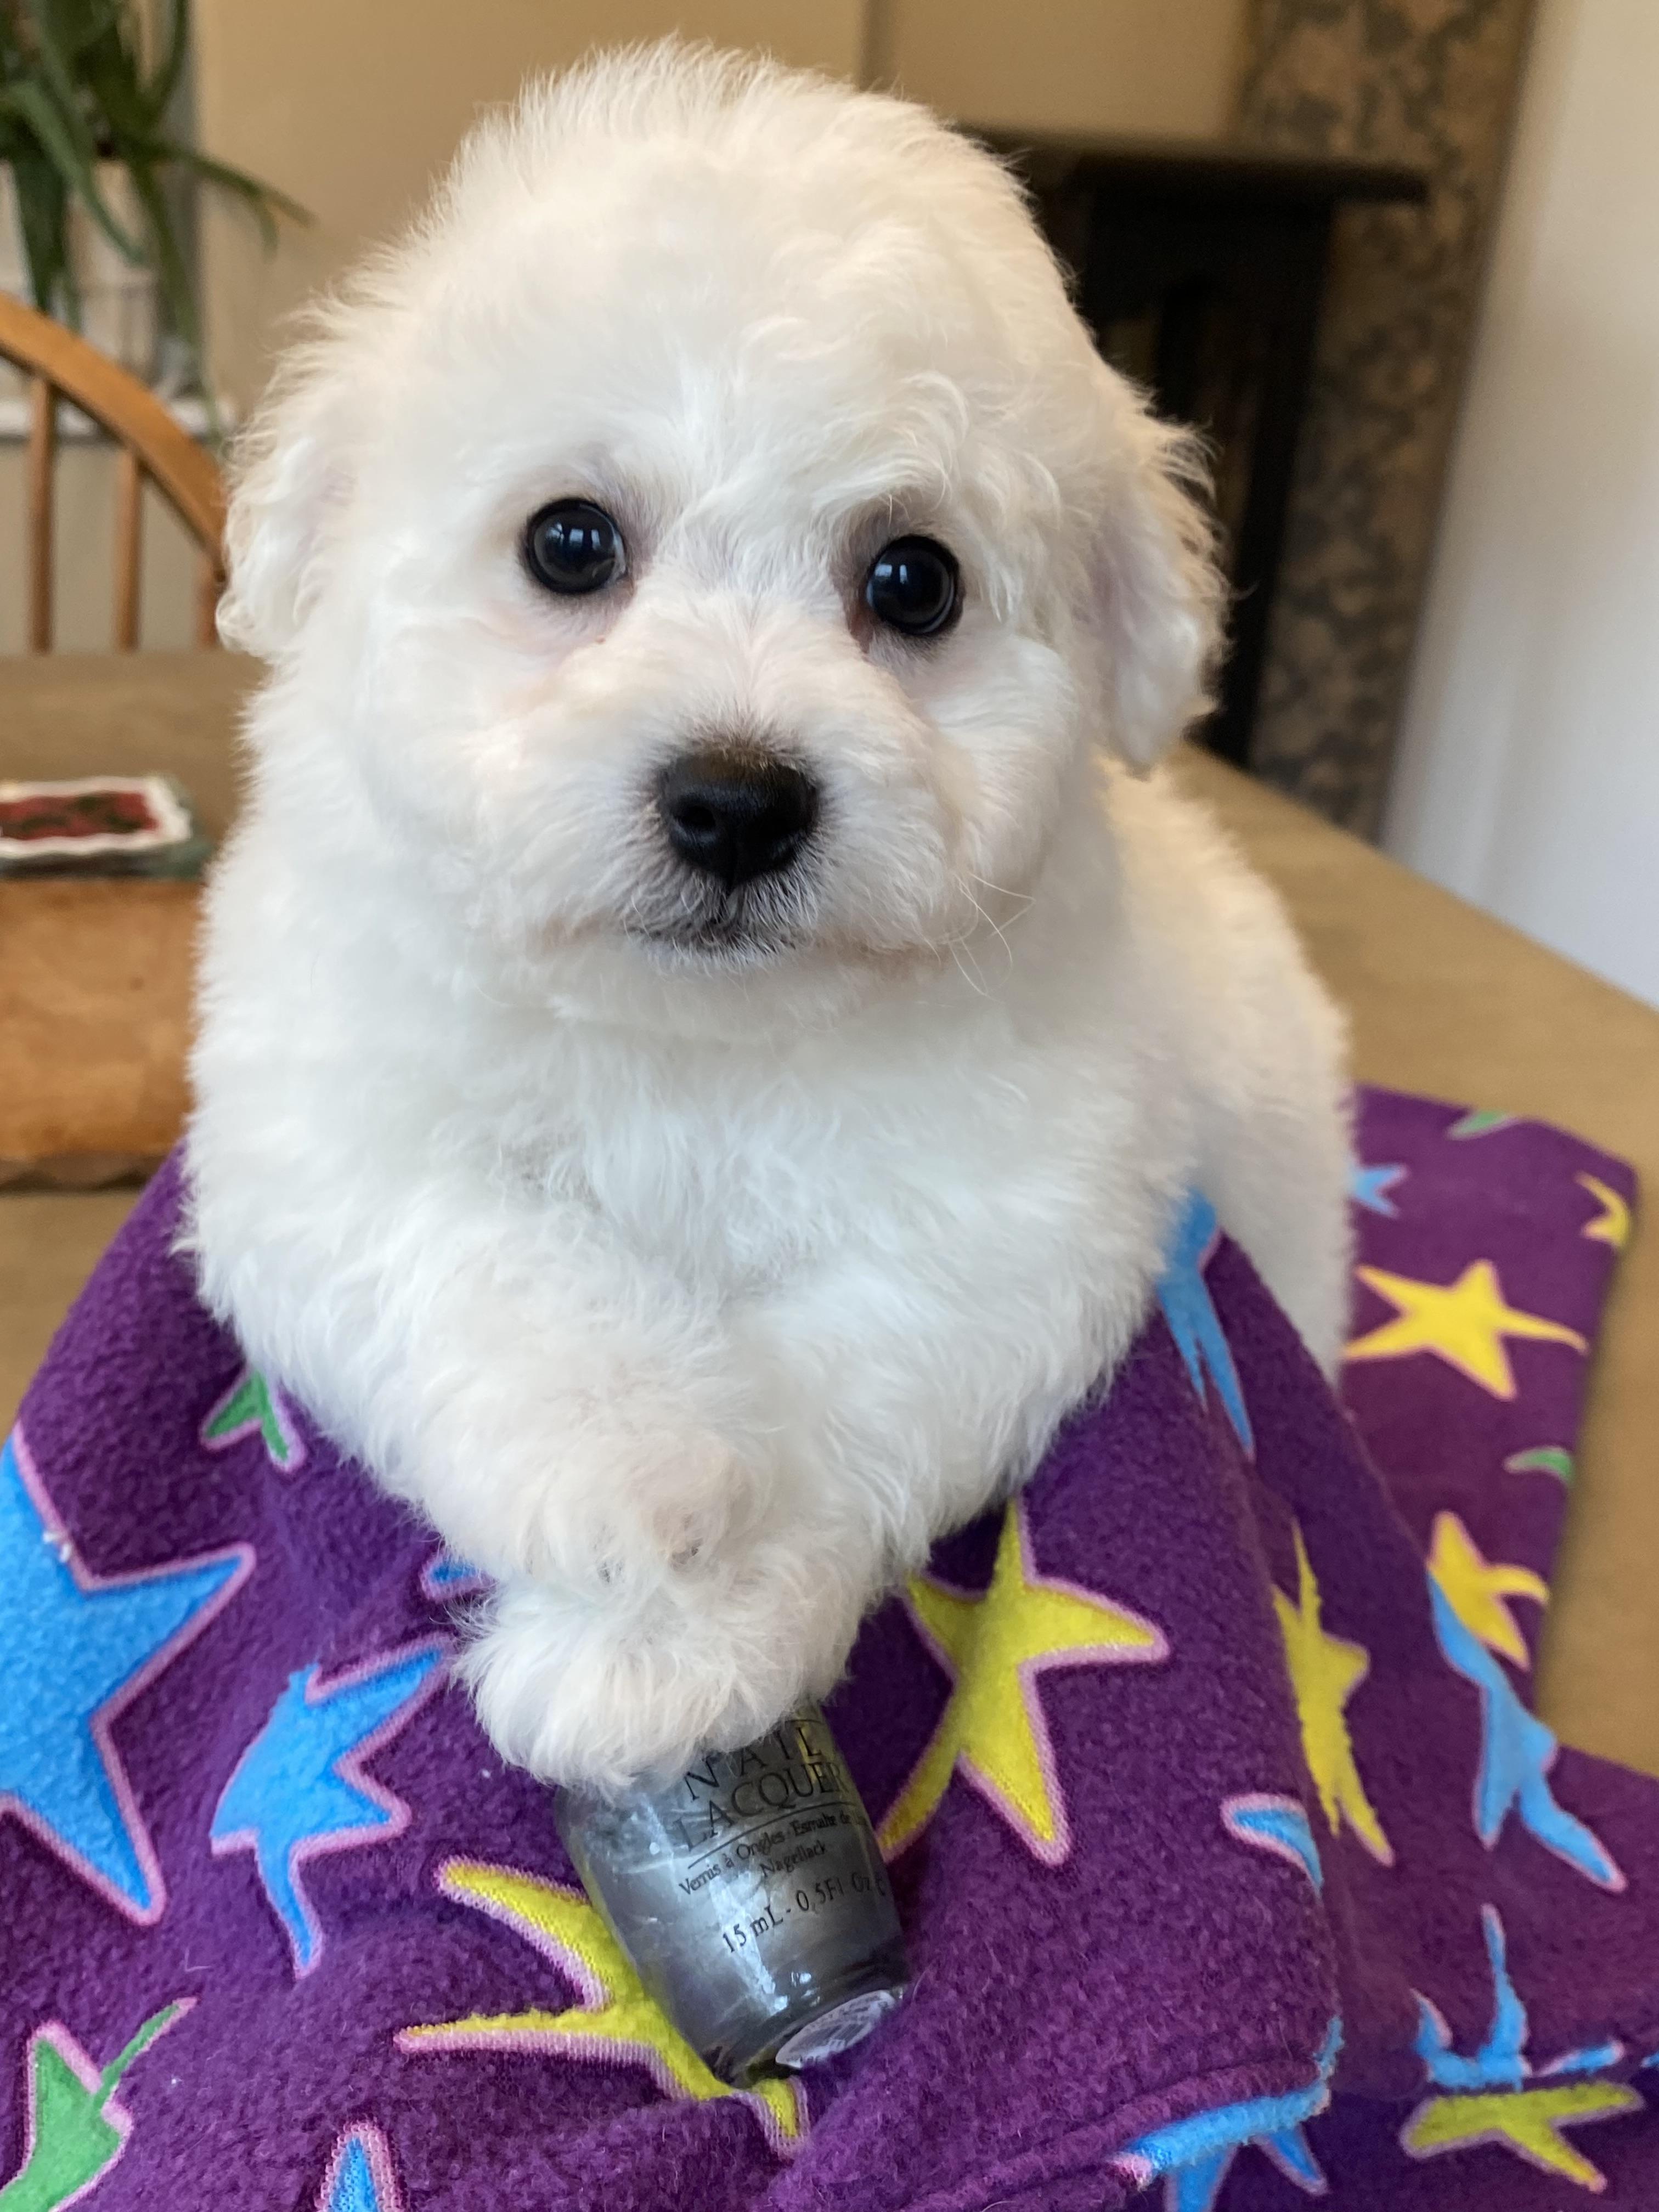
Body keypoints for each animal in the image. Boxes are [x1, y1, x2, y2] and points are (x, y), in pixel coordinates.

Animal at [187, 41, 1352, 1793]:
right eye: (570, 542)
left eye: (917, 582)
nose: (737, 801)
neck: (701, 1037)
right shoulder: (325, 1128)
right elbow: (479, 1263)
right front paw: (633, 1477)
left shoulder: (1011, 1216)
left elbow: (841, 1389)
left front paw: (671, 1646)